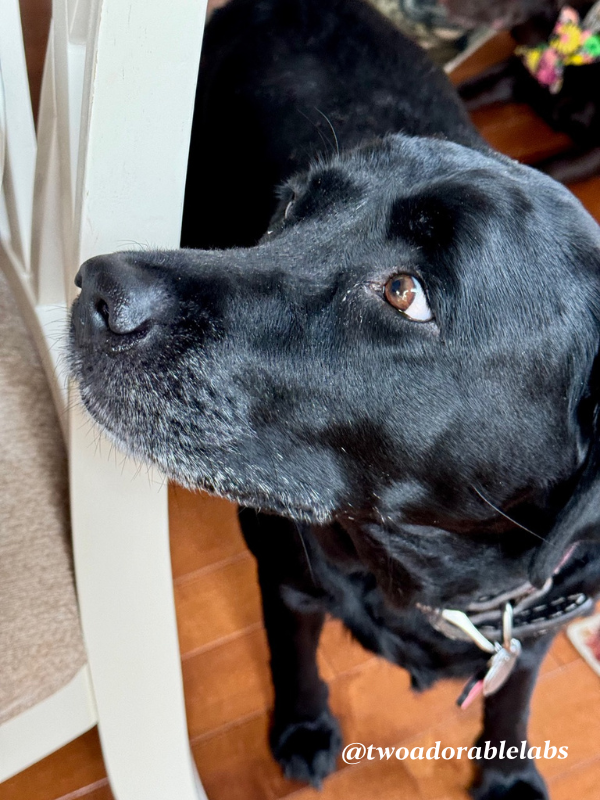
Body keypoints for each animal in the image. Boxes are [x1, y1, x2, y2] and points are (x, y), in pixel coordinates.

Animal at [68, 1, 600, 800]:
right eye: (289, 210)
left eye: (405, 292)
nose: (96, 291)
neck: (425, 575)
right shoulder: (287, 575)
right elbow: (292, 657)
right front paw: (303, 727)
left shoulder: (539, 621)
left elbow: (515, 689)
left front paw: (507, 774)